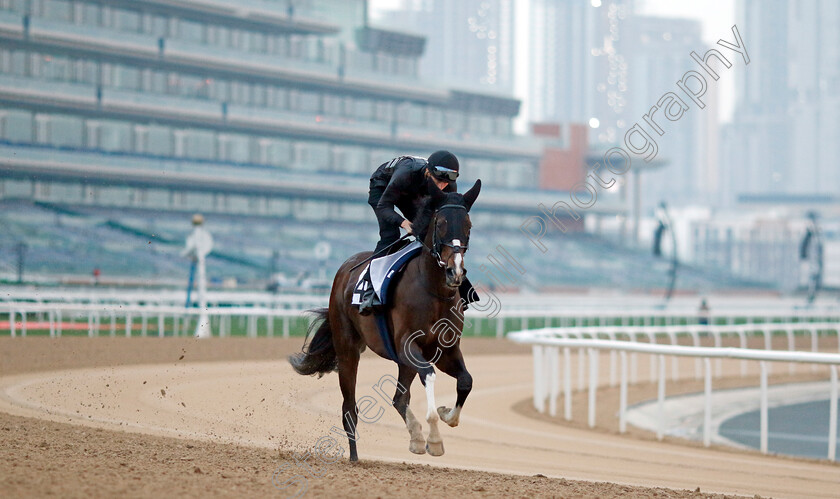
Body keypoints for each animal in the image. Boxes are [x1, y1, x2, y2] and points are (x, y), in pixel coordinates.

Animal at [288, 178, 480, 462]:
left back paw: (415, 438)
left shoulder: (445, 350)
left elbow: (466, 381)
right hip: (348, 349)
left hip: (402, 361)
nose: (454, 271)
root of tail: (345, 268)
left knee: (399, 398)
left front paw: (445, 415)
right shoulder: (407, 345)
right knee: (349, 408)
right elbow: (430, 376)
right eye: (441, 223)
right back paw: (354, 457)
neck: (432, 290)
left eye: (468, 225)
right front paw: (435, 439)